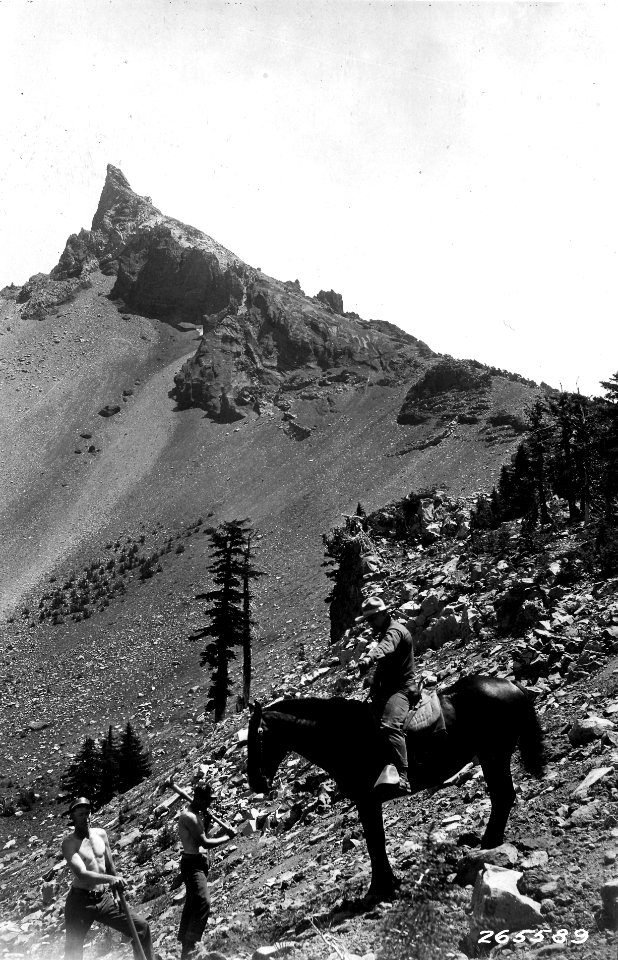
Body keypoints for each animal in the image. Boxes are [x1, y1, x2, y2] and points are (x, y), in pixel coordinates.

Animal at [247, 676, 544, 900]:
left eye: (259, 734)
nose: (256, 782)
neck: (341, 735)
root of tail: (512, 685)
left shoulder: (367, 800)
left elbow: (374, 841)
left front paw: (380, 888)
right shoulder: (367, 801)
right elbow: (374, 840)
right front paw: (385, 884)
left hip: (494, 754)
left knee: (503, 796)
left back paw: (488, 846)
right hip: (493, 756)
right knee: (503, 796)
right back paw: (487, 845)